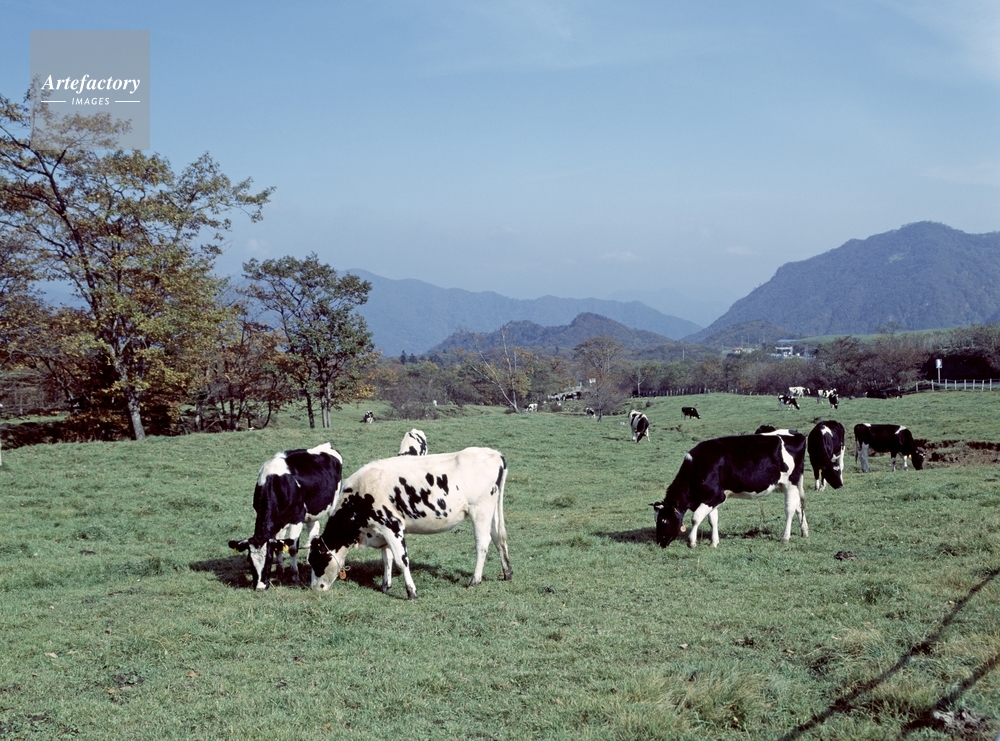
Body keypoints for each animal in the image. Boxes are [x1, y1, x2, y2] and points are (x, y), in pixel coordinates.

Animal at [228, 443, 343, 590]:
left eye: (269, 559)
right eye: (249, 560)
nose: (260, 587)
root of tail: (327, 445)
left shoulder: (297, 518)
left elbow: (292, 548)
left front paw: (294, 576)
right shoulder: (279, 522)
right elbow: (279, 545)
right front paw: (280, 570)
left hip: (332, 503)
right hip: (311, 511)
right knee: (313, 527)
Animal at [308, 447, 512, 599]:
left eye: (316, 560)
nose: (315, 589)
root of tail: (495, 454)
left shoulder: (392, 525)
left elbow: (401, 560)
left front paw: (411, 592)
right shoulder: (381, 530)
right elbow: (387, 558)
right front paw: (385, 585)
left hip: (480, 510)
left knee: (482, 543)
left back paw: (475, 580)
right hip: (492, 510)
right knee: (498, 538)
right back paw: (507, 573)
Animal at [651, 433, 808, 548]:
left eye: (663, 520)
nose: (660, 543)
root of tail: (797, 435)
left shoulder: (715, 496)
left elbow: (695, 518)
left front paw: (692, 542)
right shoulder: (711, 498)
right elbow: (713, 520)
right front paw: (714, 542)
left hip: (790, 483)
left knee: (790, 509)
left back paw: (785, 537)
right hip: (791, 484)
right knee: (799, 506)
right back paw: (804, 531)